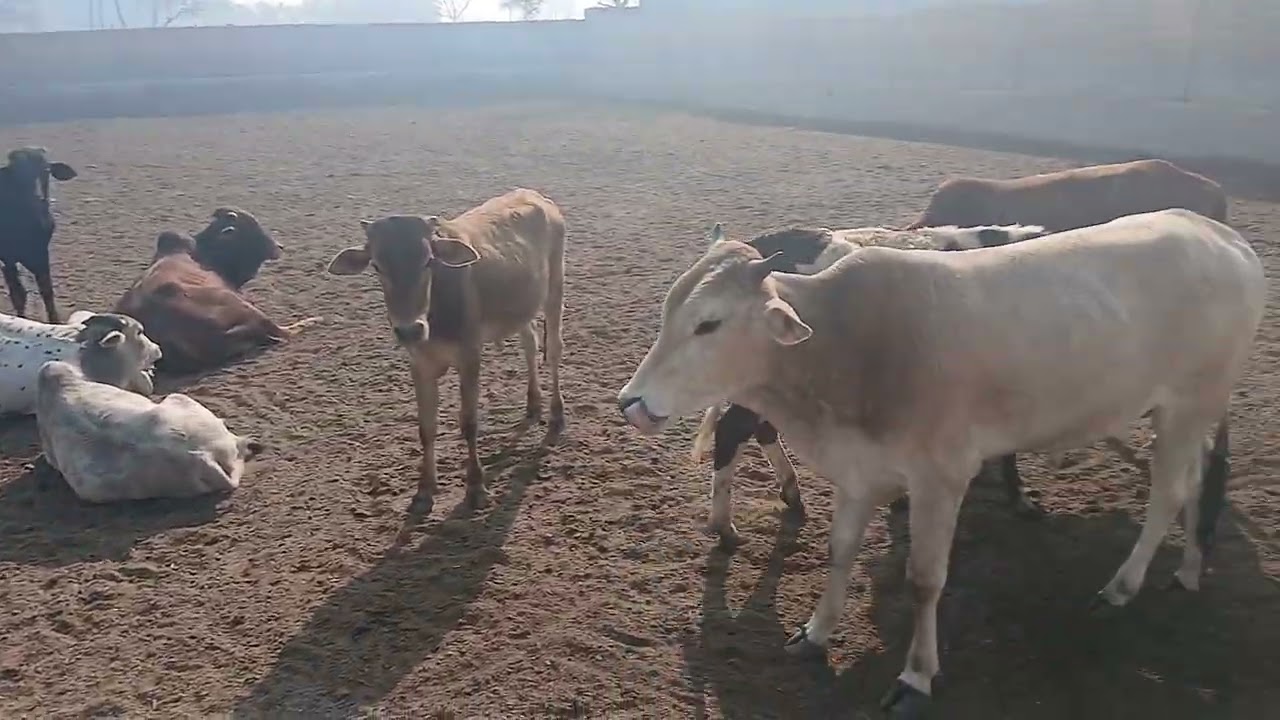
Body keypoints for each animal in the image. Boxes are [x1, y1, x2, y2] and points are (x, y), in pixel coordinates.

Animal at [0, 147, 77, 322]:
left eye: (46, 170)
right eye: (14, 172)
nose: (38, 197)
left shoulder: (41, 252)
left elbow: (47, 290)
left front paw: (55, 321)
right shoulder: (8, 257)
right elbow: (18, 294)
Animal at [114, 208, 319, 374]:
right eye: (251, 229)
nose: (279, 247)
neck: (203, 254)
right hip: (244, 307)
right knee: (284, 333)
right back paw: (312, 321)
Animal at [325, 188, 566, 511]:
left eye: (429, 260)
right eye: (377, 265)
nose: (409, 330)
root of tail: (534, 195)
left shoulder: (470, 356)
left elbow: (469, 423)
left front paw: (476, 486)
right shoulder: (420, 364)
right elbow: (426, 427)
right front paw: (424, 489)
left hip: (555, 289)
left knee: (553, 349)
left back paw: (556, 413)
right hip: (520, 308)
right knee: (530, 342)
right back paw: (533, 403)